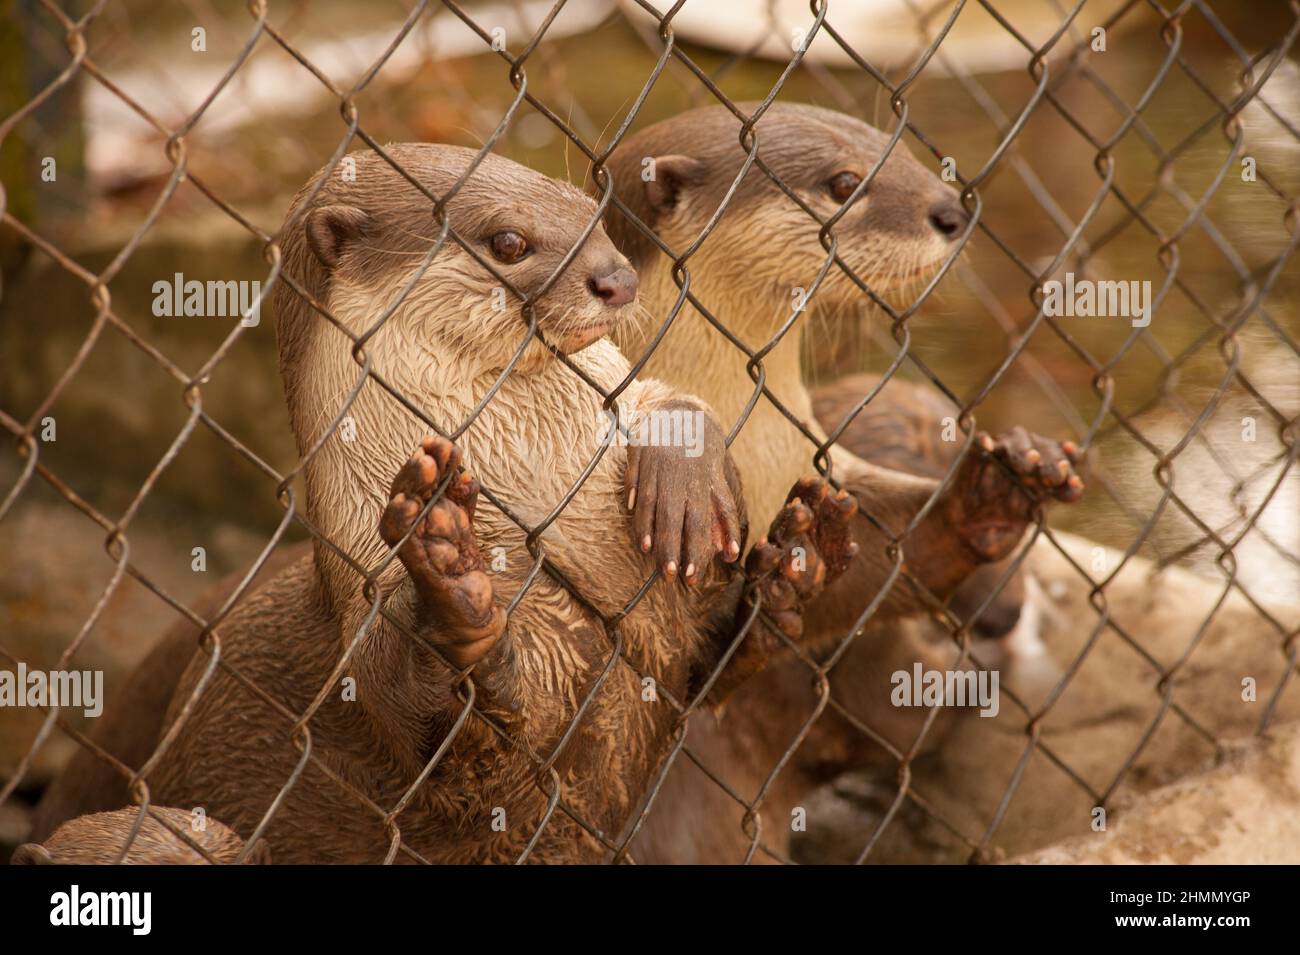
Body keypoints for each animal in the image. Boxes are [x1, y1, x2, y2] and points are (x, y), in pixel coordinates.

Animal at [91, 144, 852, 864]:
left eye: (592, 214)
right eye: (509, 241)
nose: (618, 279)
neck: (544, 502)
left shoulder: (668, 639)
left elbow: (710, 659)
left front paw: (702, 503)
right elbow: (449, 732)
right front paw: (450, 584)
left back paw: (799, 555)